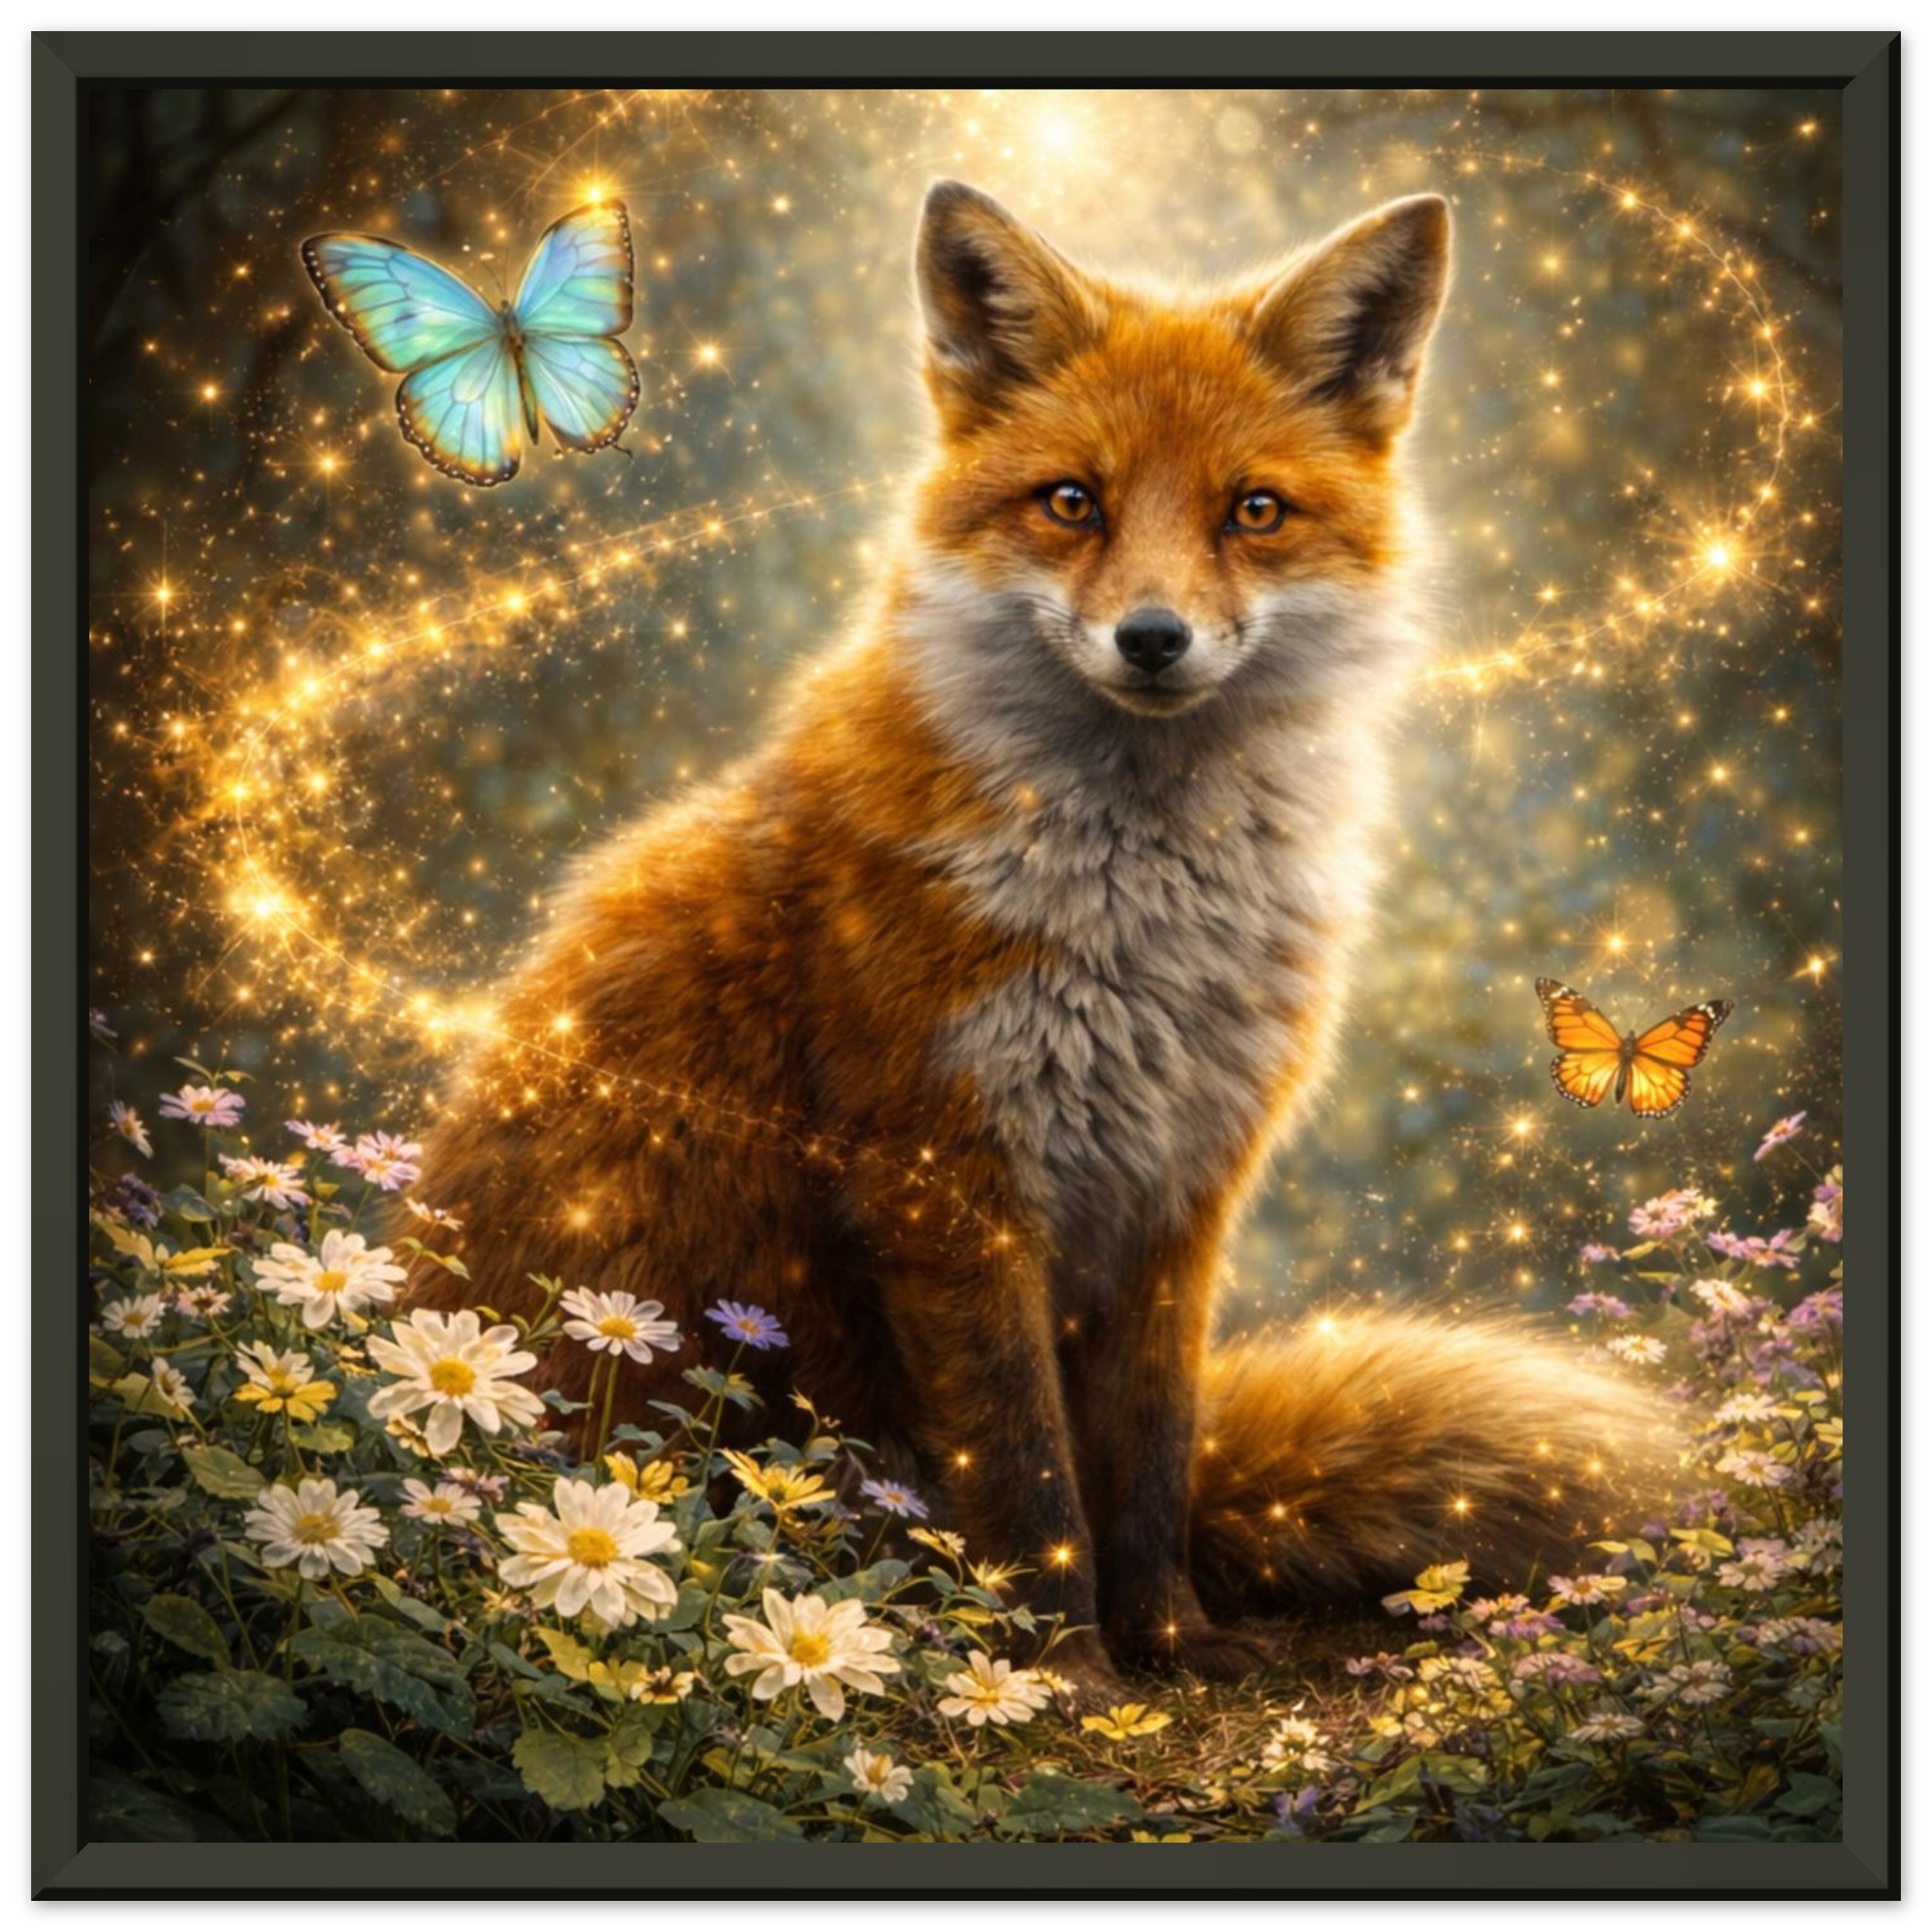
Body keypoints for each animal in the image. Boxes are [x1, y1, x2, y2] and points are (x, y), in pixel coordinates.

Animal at [408, 182, 1670, 1697]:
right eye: (1074, 501)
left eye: (1253, 511)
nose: (1153, 638)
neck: (1150, 925)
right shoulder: (944, 1180)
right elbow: (1026, 1476)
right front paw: (1057, 1678)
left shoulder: (1182, 1183)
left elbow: (1149, 1459)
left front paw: (1171, 1641)